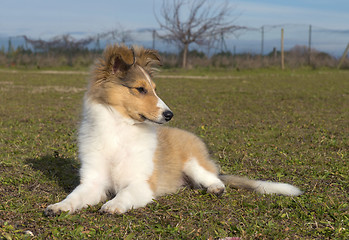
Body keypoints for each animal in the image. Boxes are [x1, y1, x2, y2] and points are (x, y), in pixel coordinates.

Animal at [44, 45, 302, 216]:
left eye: (154, 88)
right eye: (140, 89)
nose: (169, 114)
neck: (120, 130)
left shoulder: (141, 183)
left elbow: (124, 195)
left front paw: (113, 205)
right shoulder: (93, 181)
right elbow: (75, 196)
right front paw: (59, 206)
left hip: (194, 163)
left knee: (215, 179)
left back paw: (215, 188)